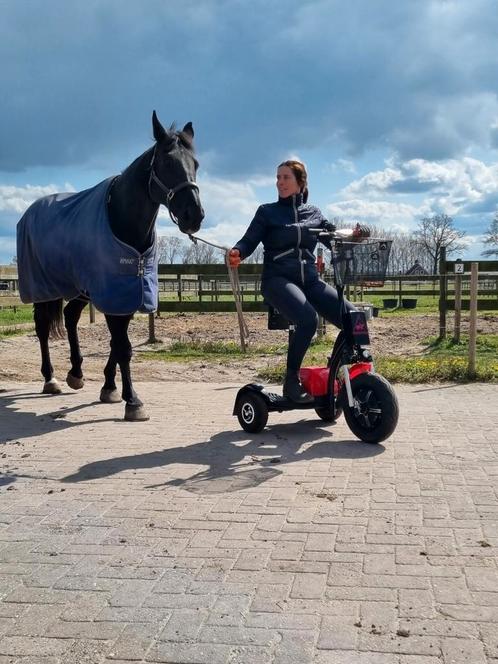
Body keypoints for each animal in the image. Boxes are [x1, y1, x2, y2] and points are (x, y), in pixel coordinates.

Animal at [17, 109, 204, 420]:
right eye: (167, 162)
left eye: (196, 164)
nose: (195, 215)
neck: (121, 219)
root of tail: (31, 211)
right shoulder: (112, 292)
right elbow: (123, 346)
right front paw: (133, 401)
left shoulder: (127, 291)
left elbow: (118, 345)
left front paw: (110, 388)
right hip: (44, 287)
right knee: (43, 327)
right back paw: (51, 378)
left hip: (81, 289)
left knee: (70, 316)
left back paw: (76, 373)